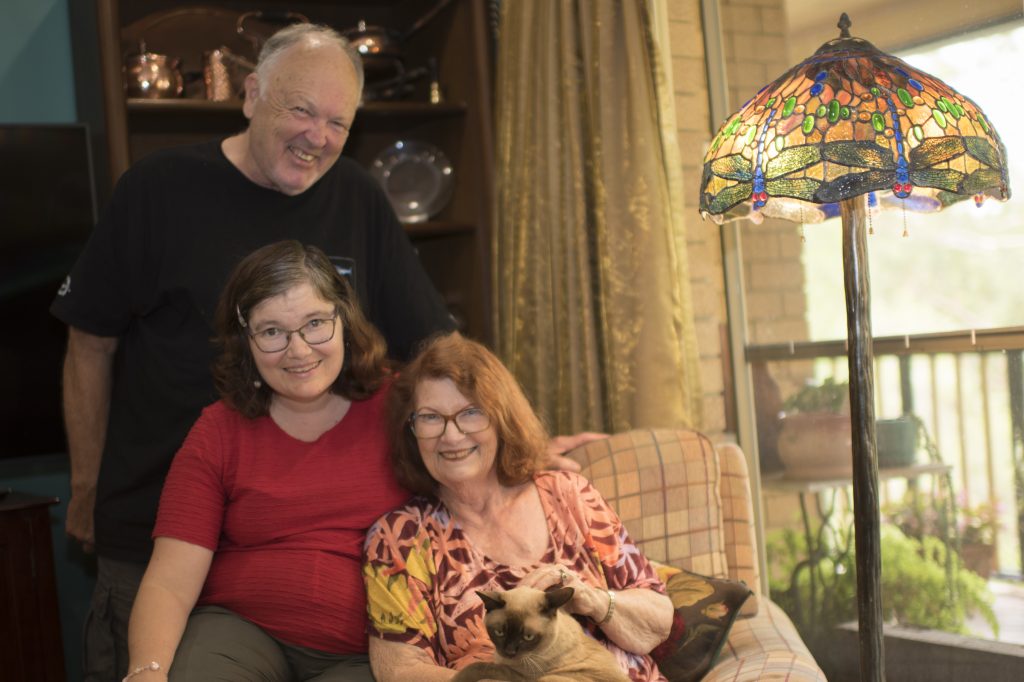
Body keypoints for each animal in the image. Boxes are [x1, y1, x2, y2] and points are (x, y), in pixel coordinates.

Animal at [452, 585, 626, 679]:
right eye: (499, 632)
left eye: (528, 637)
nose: (509, 652)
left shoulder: (518, 676)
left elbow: (480, 667)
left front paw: (457, 678)